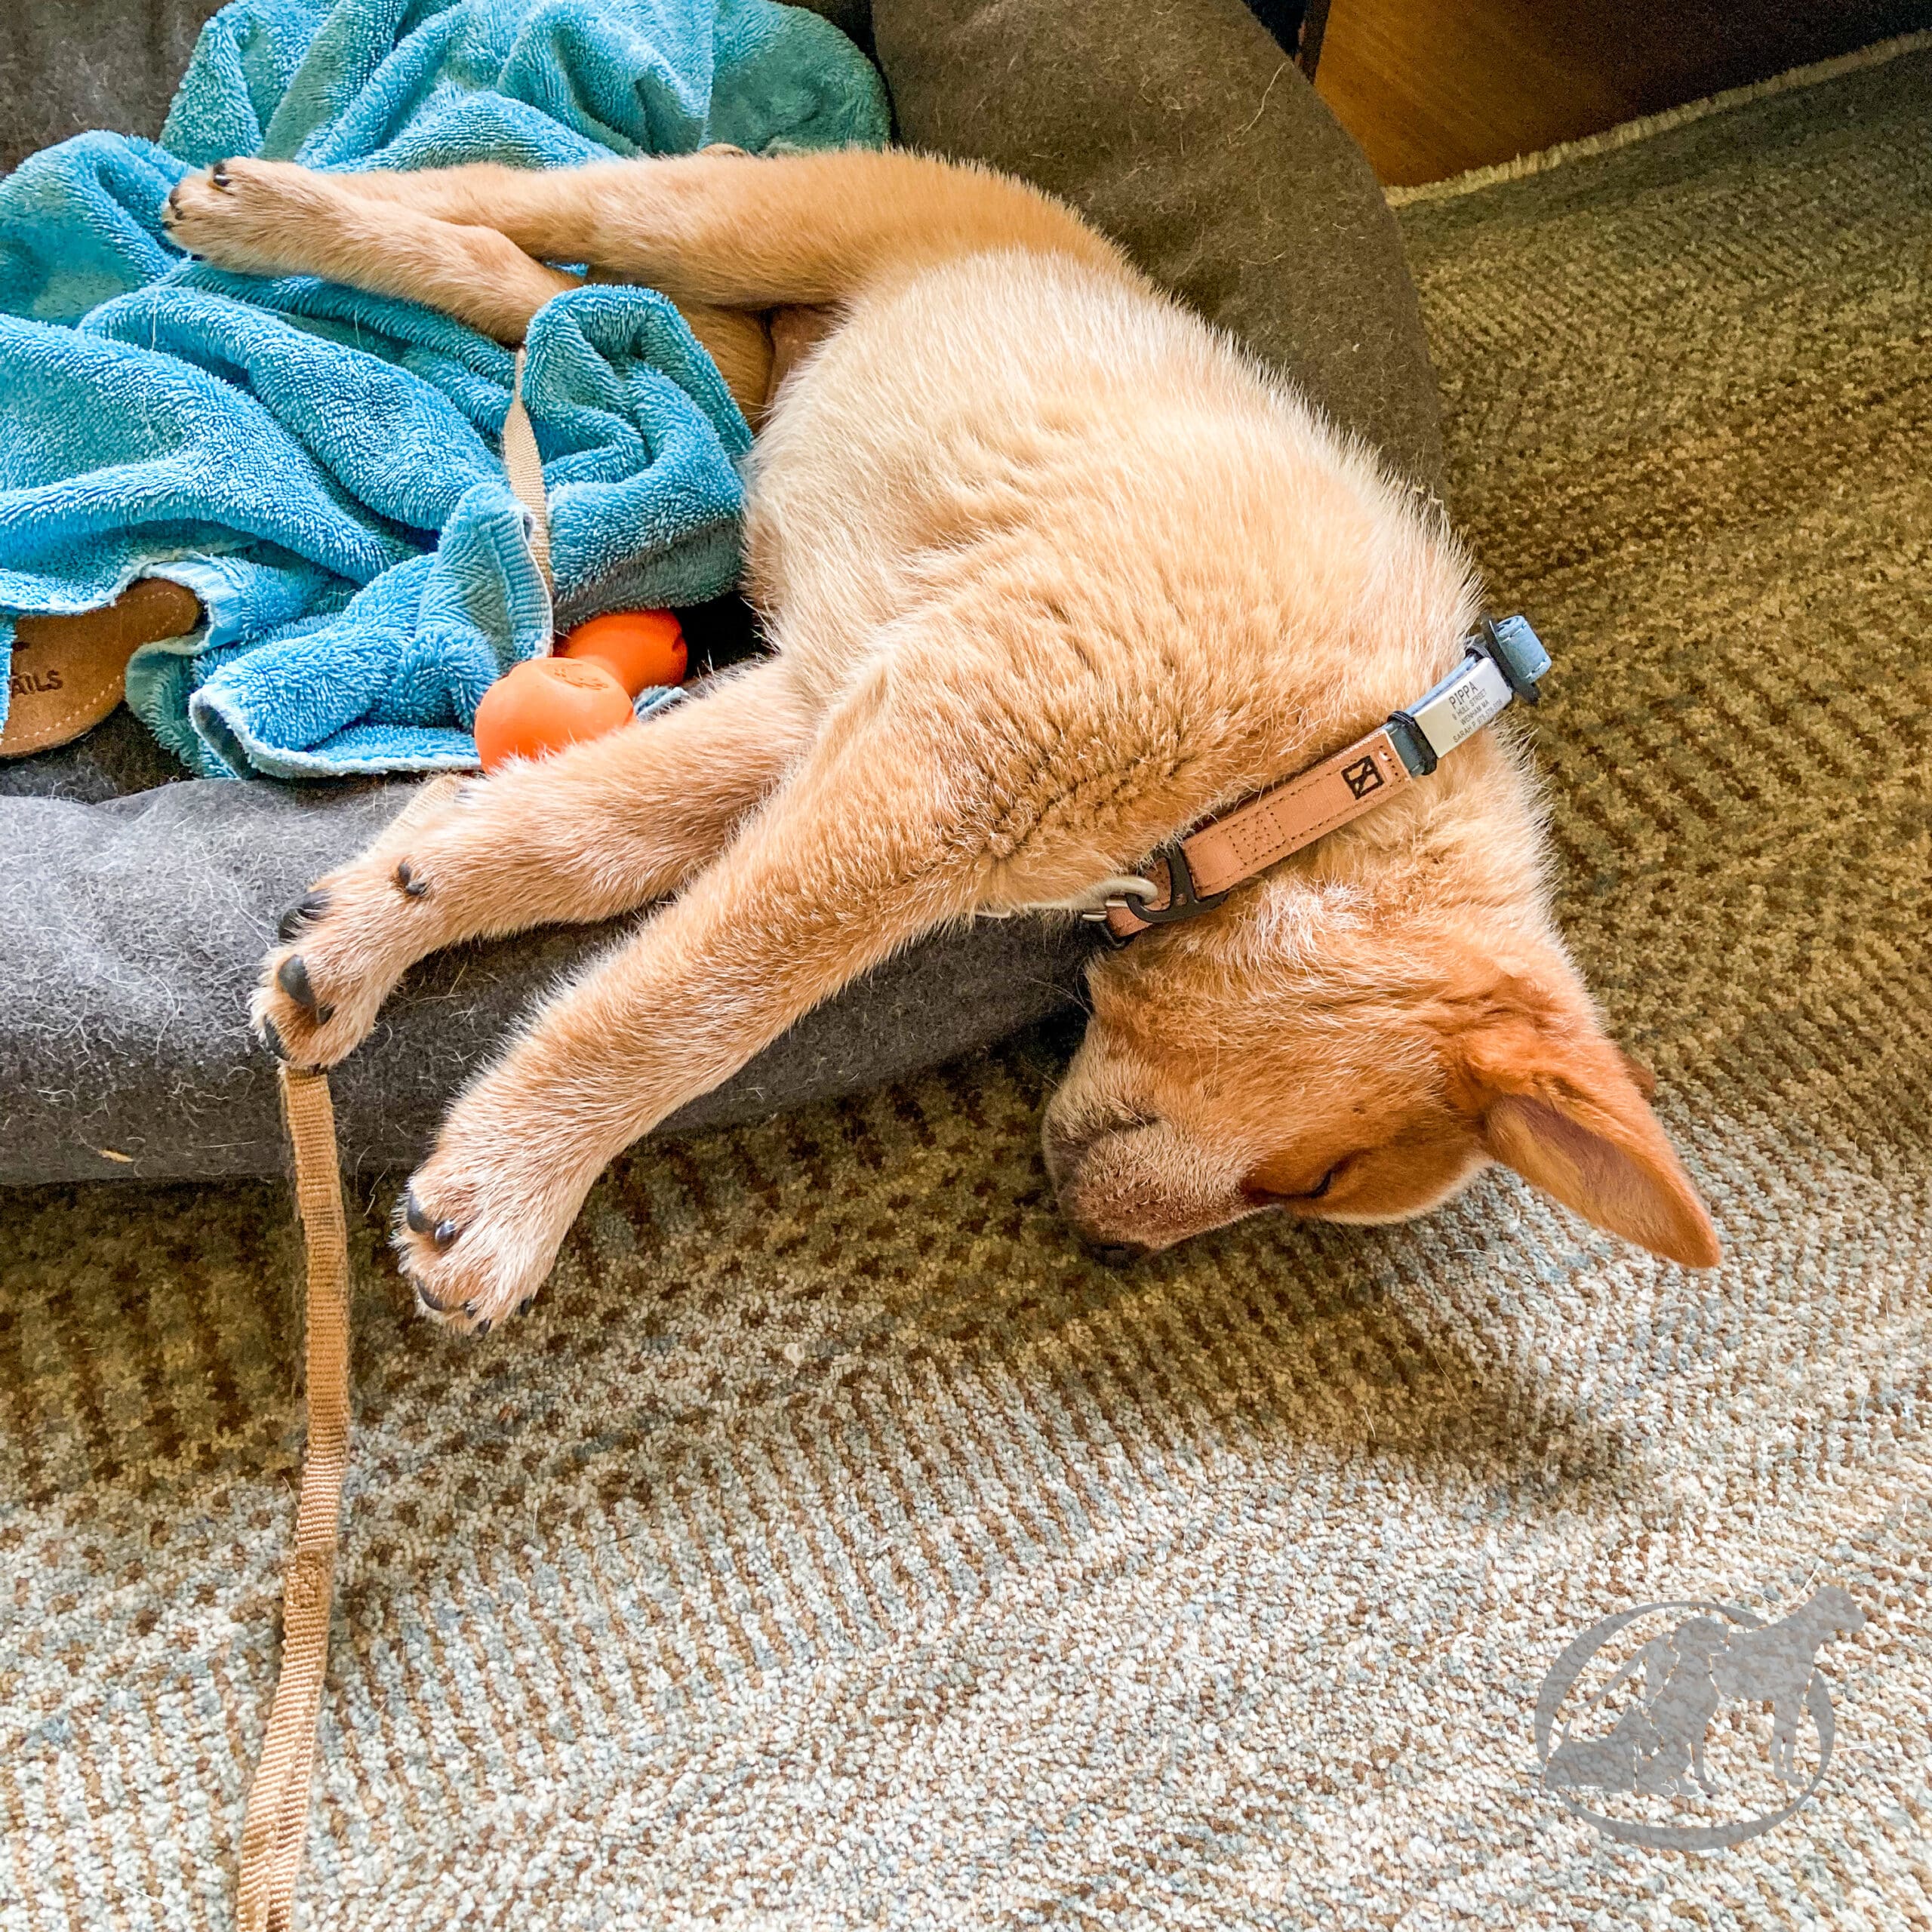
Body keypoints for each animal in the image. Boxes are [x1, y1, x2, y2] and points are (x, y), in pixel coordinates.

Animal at [158, 146, 1715, 1329]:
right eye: (1316, 1181)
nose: (1107, 1254)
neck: (1325, 763)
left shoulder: (834, 695)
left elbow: (577, 830)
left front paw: (368, 932)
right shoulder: (945, 762)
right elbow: (704, 1001)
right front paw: (512, 1189)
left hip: (732, 356)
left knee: (561, 297)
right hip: (744, 215)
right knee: (528, 189)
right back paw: (265, 206)